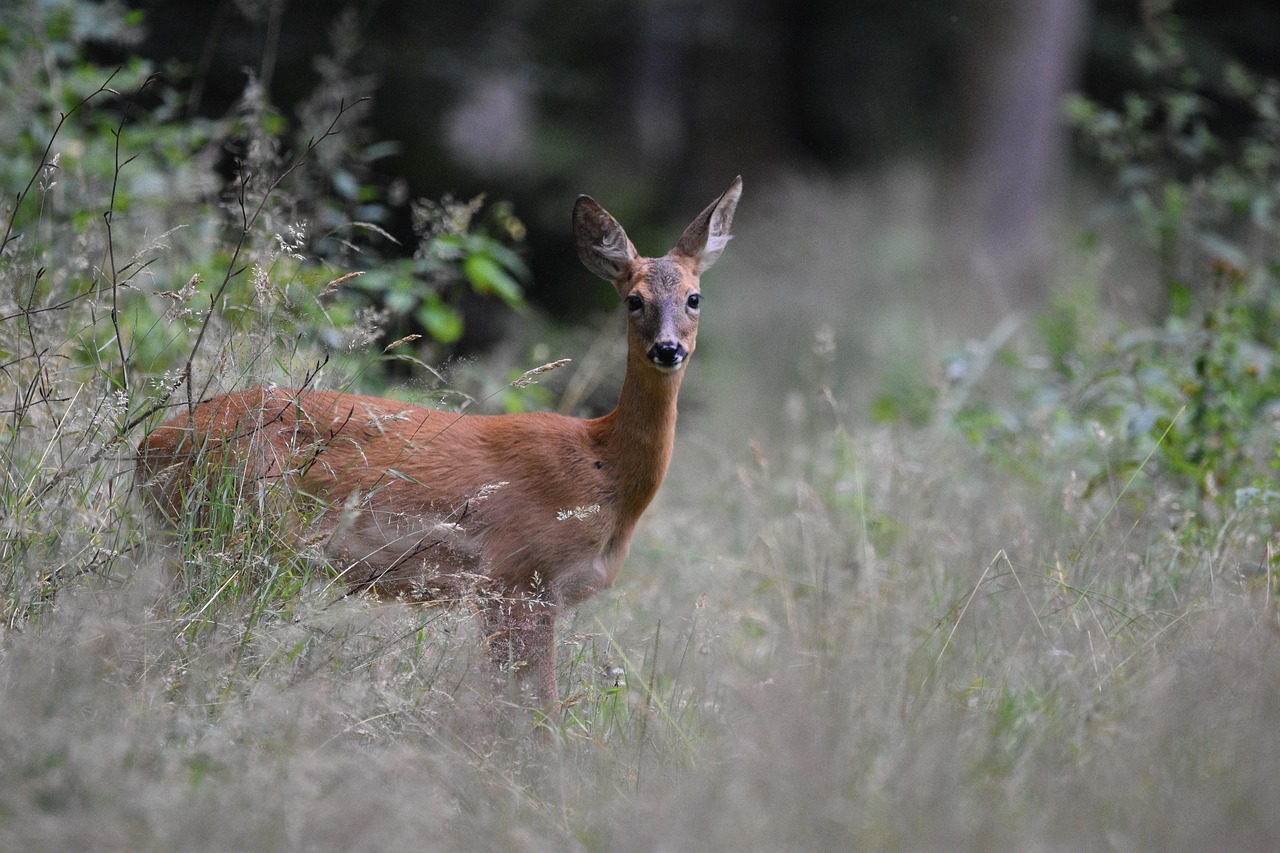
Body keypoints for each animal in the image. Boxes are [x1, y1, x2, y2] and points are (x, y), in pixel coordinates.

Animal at [132, 175, 742, 706]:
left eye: (695, 298)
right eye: (633, 300)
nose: (668, 349)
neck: (601, 466)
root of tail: (147, 448)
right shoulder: (518, 576)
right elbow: (535, 716)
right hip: (237, 531)